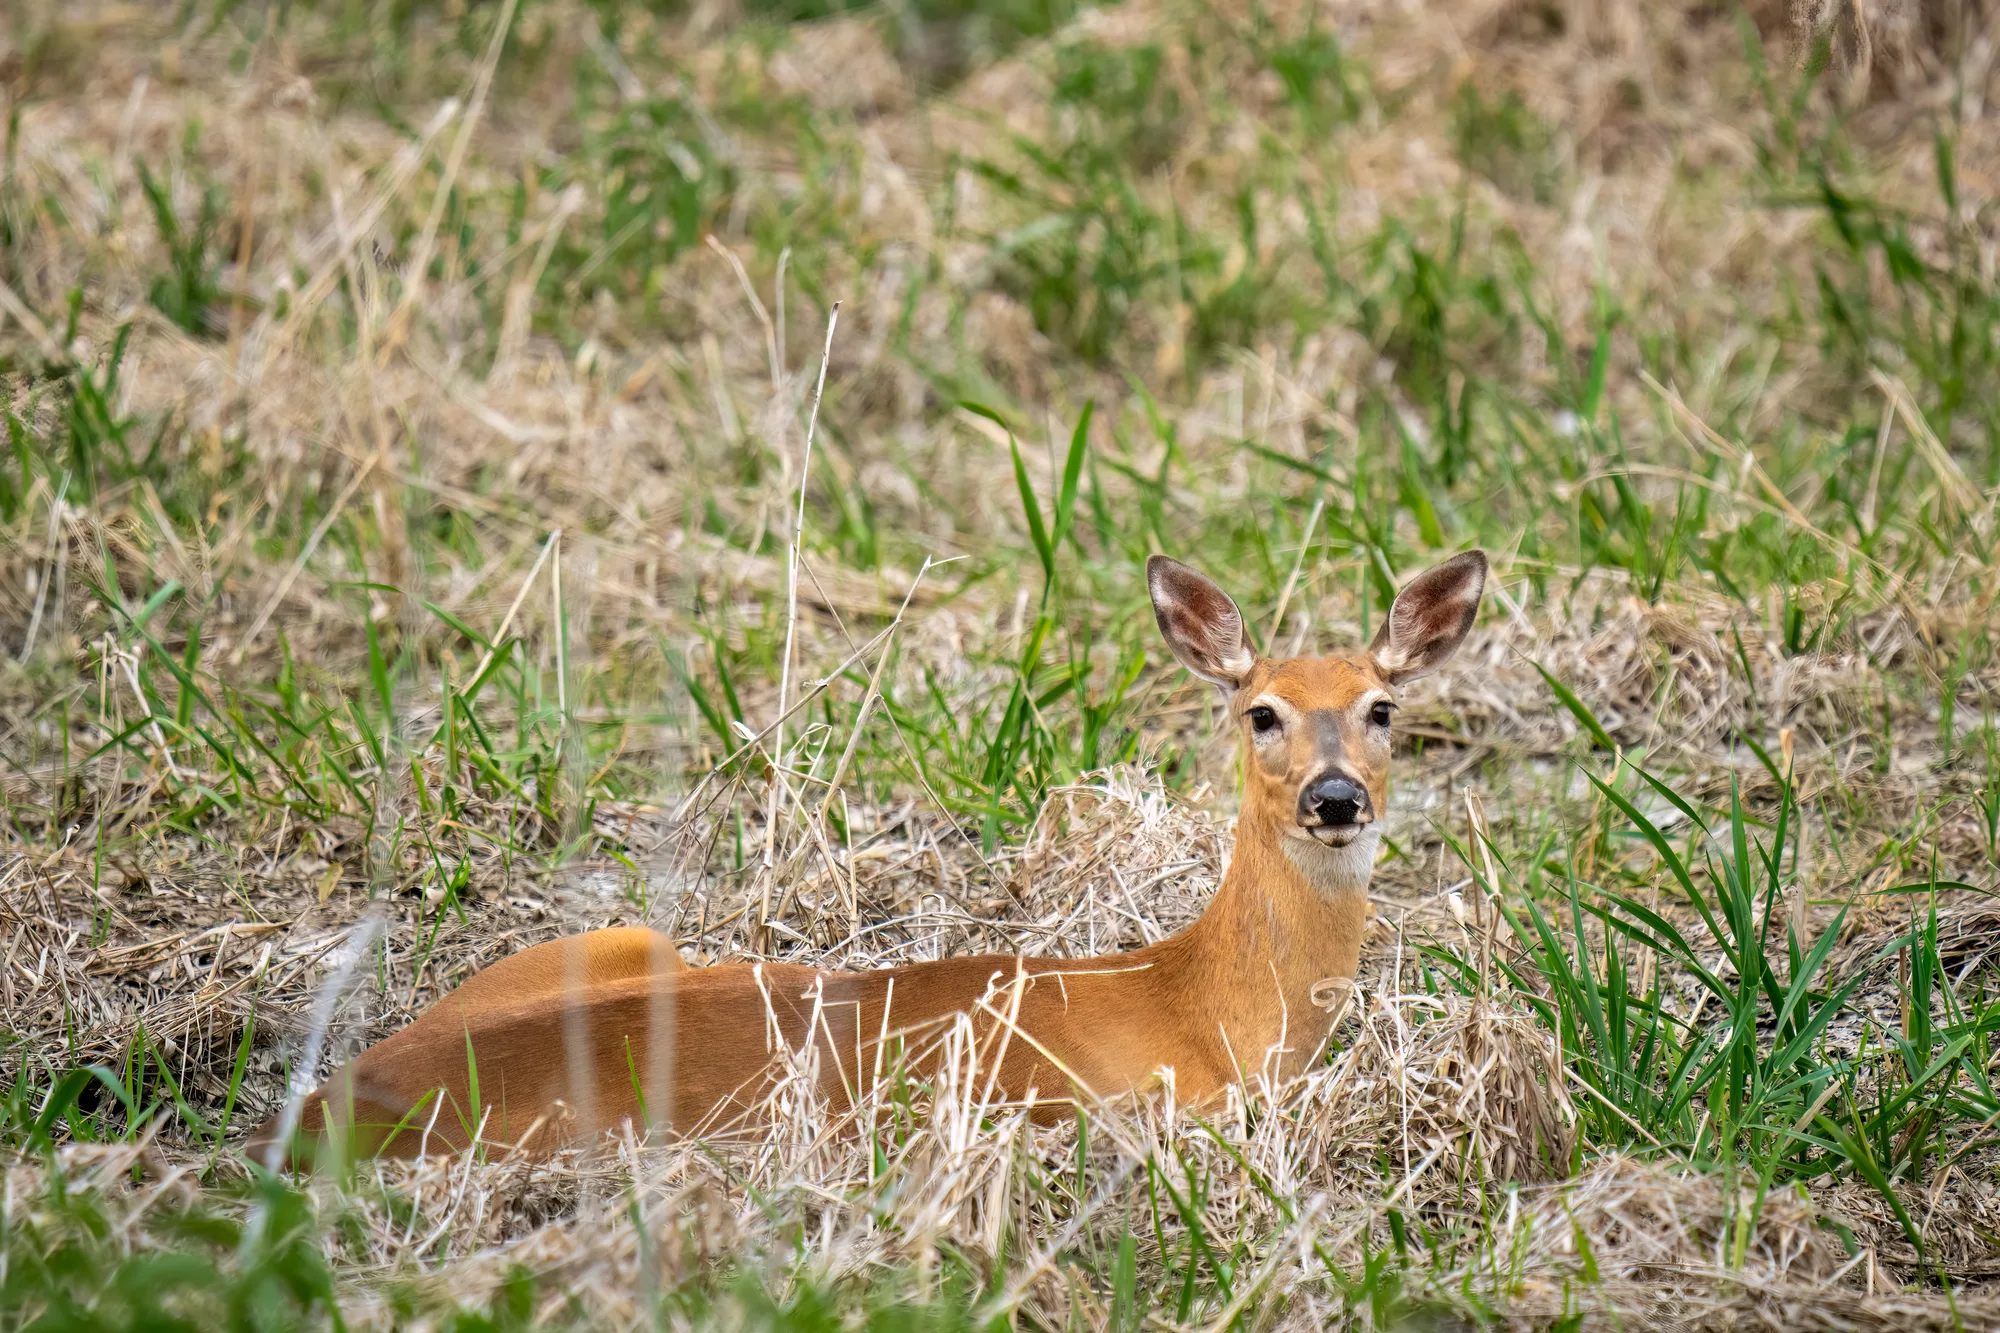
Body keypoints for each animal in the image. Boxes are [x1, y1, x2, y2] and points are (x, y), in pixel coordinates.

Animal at [251, 549, 1486, 1166]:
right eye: (1261, 712)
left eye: (1381, 706)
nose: (1335, 798)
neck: (1206, 1001)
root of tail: (321, 1109)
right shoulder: (1122, 1104)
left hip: (617, 936)